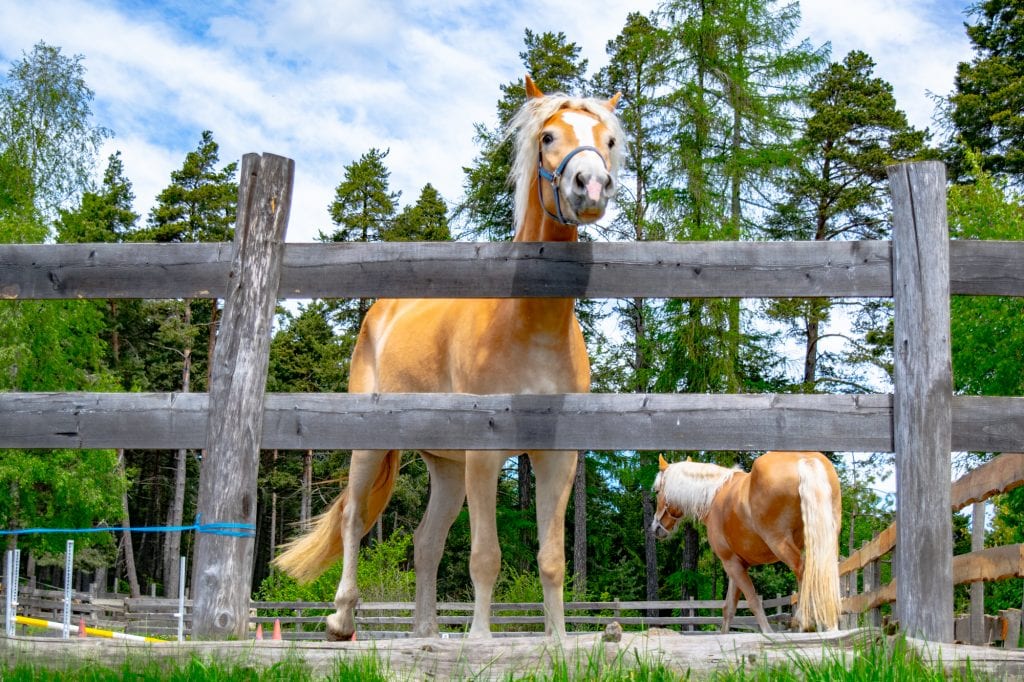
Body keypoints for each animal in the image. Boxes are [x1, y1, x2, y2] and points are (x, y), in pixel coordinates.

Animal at [272, 75, 622, 638]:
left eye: (608, 140)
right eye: (548, 136)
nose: (589, 186)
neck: (529, 327)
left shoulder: (556, 458)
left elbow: (551, 559)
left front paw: (558, 640)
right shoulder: (484, 456)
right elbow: (486, 556)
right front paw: (479, 638)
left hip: (447, 468)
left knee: (425, 542)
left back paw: (425, 632)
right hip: (372, 447)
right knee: (353, 520)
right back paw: (342, 617)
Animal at [651, 448, 843, 630]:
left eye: (657, 491)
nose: (655, 528)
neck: (714, 496)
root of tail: (804, 460)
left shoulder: (731, 563)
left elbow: (753, 602)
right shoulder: (737, 565)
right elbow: (728, 608)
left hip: (780, 543)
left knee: (804, 571)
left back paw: (806, 622)